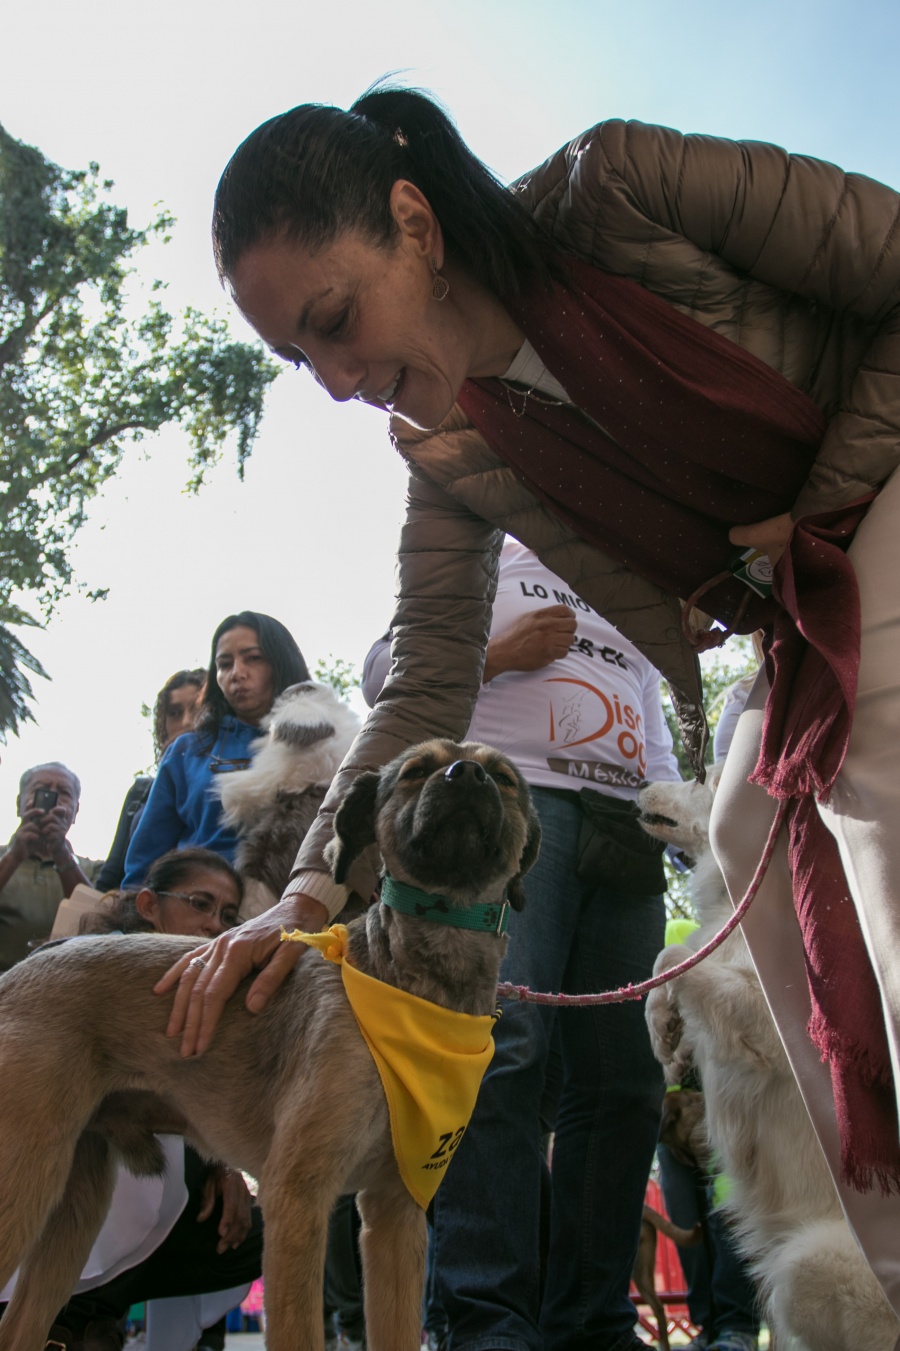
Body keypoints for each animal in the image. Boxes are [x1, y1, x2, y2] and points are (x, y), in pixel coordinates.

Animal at [0, 740, 535, 1351]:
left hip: (74, 1203)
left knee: (19, 1324)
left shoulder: (396, 1212)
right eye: (416, 770)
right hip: (25, 1173)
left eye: (502, 777)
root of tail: (22, 969)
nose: (465, 775)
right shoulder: (298, 1199)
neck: (412, 984)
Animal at [637, 772, 897, 1351]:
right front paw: (666, 1037)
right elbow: (673, 968)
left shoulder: (775, 1023)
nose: (641, 783)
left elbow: (675, 957)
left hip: (800, 1267)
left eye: (699, 779)